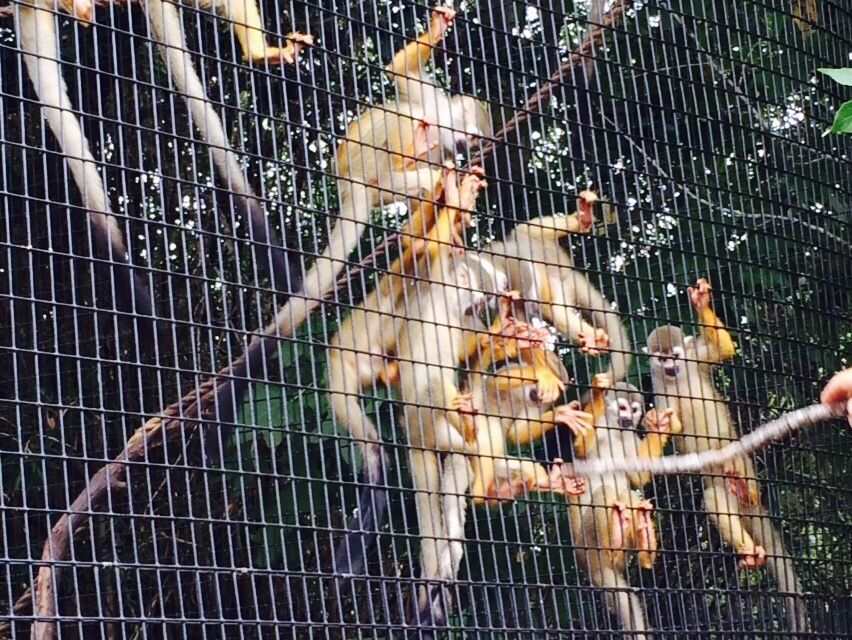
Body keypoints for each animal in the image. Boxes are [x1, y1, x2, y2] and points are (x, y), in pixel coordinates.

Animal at [564, 374, 681, 640]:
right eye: (622, 407)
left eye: (634, 409)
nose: (628, 419)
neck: (615, 432)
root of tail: (594, 570)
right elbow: (581, 449)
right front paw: (597, 393)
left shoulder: (629, 436)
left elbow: (639, 477)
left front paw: (659, 426)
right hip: (587, 544)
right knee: (605, 494)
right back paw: (614, 543)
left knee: (630, 498)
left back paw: (644, 547)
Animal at [641, 278, 809, 633]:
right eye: (661, 359)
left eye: (675, 356)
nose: (671, 366)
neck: (676, 374)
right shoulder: (657, 387)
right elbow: (673, 426)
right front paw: (657, 423)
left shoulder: (694, 356)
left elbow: (723, 351)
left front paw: (700, 301)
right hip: (715, 477)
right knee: (714, 497)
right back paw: (748, 546)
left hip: (737, 455)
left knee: (741, 476)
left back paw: (748, 492)